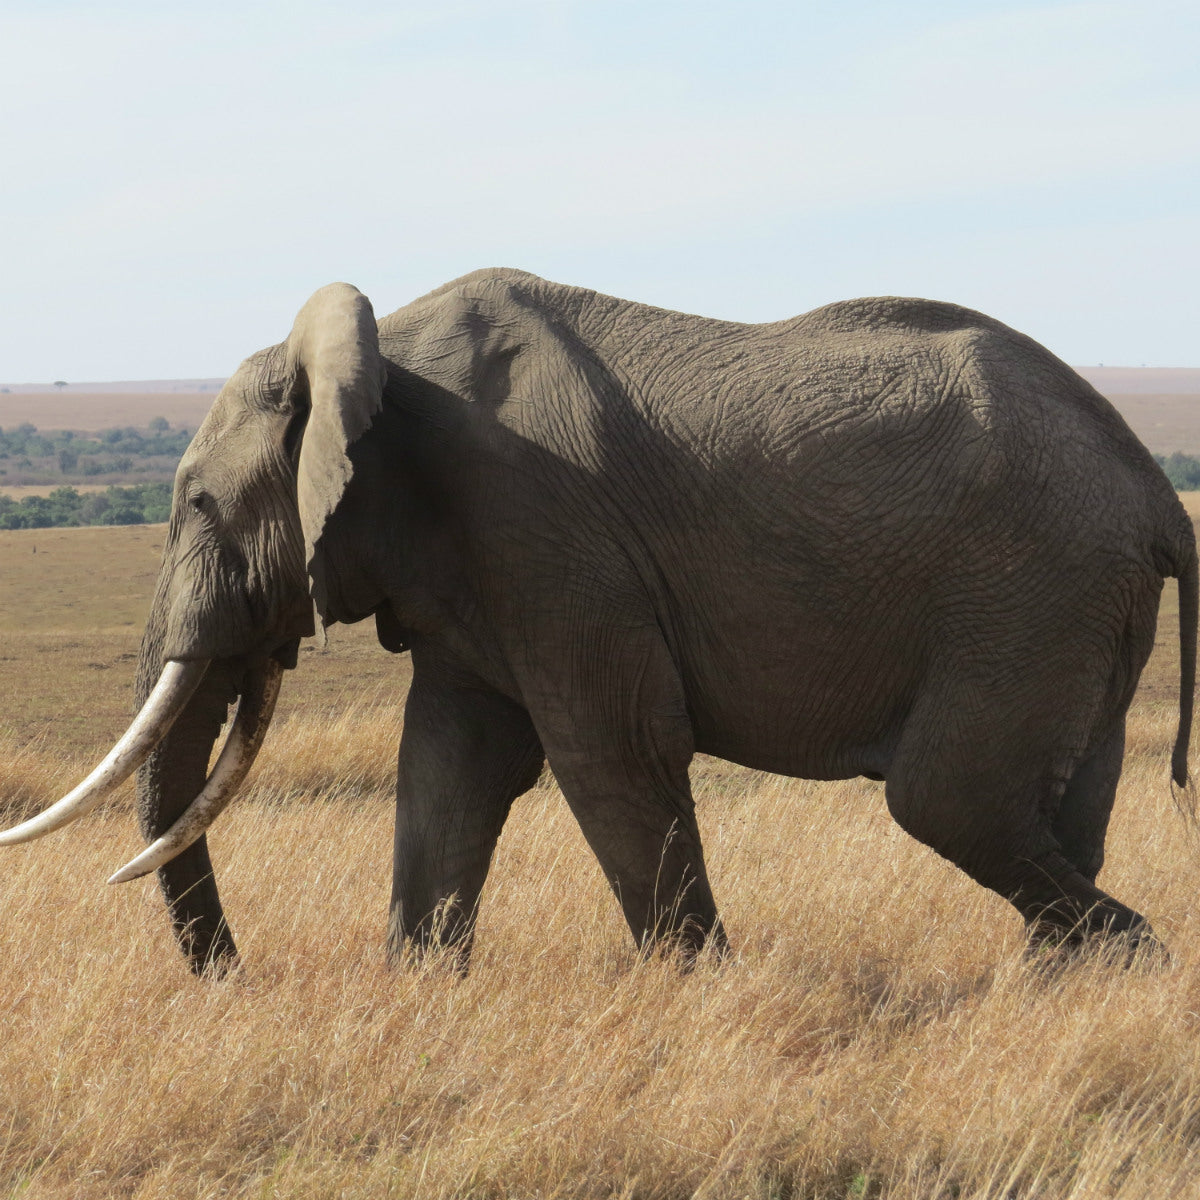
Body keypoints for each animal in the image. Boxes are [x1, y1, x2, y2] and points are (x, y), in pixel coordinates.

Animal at [4, 272, 1195, 974]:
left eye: (199, 507)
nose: (239, 980)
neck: (377, 356)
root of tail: (1154, 488)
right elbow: (450, 763)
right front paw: (418, 995)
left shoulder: (545, 528)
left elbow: (608, 752)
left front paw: (701, 995)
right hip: (1075, 602)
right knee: (1050, 807)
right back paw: (1056, 991)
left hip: (1028, 588)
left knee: (949, 799)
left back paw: (1129, 965)